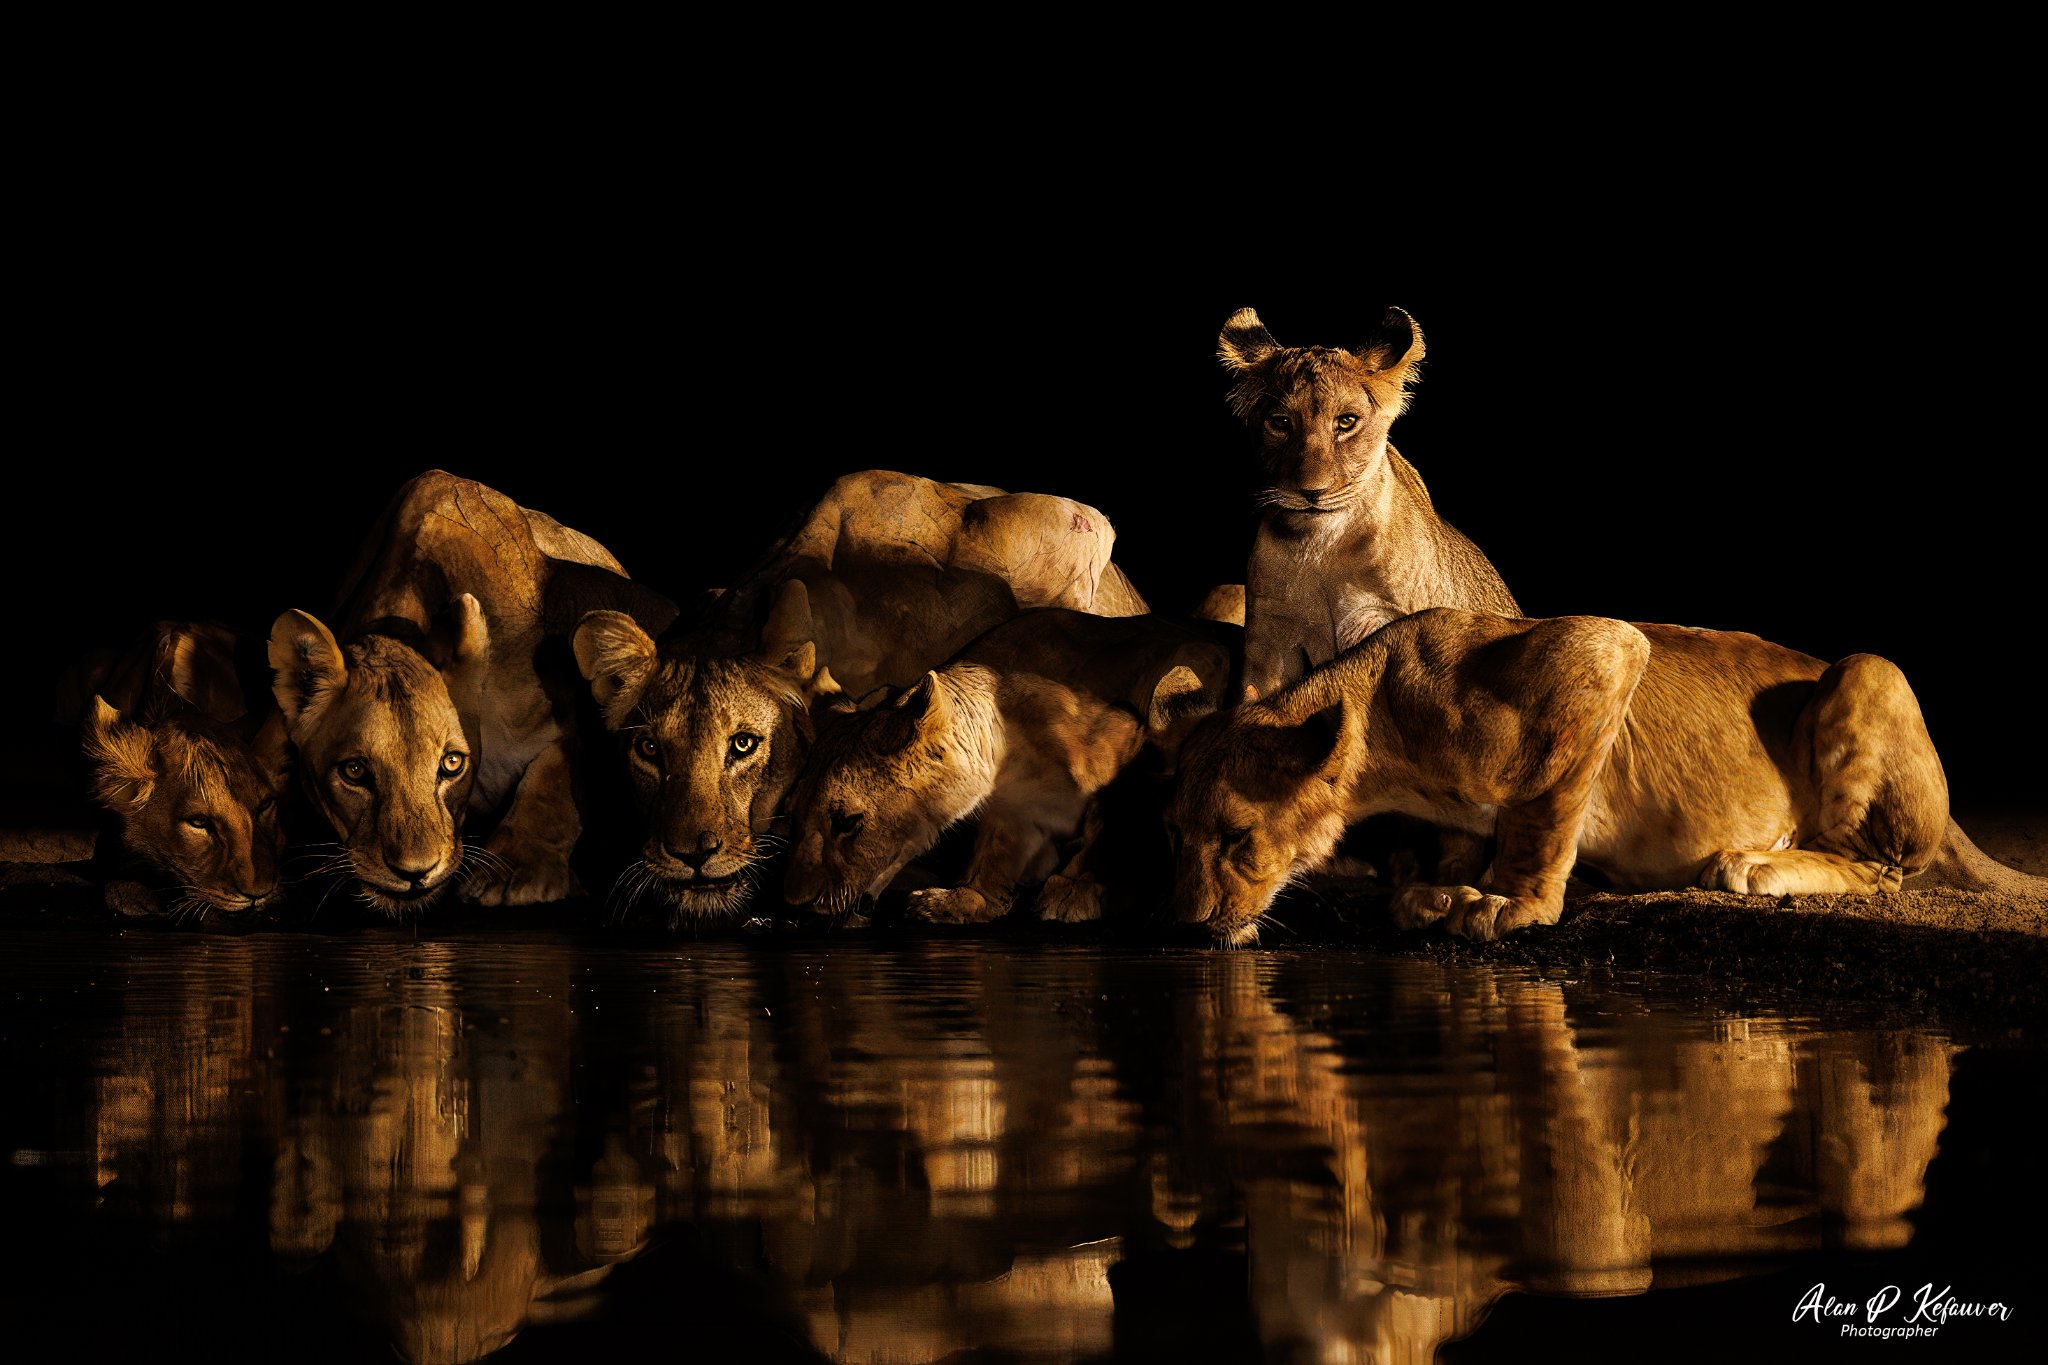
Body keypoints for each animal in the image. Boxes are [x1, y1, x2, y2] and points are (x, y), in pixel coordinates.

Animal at [269, 471, 675, 914]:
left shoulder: (575, 716)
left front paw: (512, 875)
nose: (415, 872)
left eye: (451, 763)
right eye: (354, 771)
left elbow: (552, 778)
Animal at [781, 608, 1236, 924]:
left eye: (847, 822)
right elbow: (997, 852)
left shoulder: (1132, 744)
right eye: (793, 815)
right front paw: (964, 899)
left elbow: (1110, 823)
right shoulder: (1011, 813)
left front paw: (1073, 891)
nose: (796, 904)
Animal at [1167, 607, 2041, 945]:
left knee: (1880, 868)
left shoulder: (1601, 652)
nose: (1188, 922)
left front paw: (1507, 902)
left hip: (1866, 669)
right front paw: (1437, 888)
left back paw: (1756, 861)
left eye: (1237, 837)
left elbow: (1542, 812)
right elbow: (1463, 842)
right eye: (1176, 836)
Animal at [1217, 307, 1519, 702]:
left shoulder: (1376, 617)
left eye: (1346, 421)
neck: (1319, 547)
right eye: (1280, 423)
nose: (1311, 492)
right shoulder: (1270, 635)